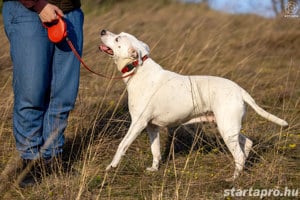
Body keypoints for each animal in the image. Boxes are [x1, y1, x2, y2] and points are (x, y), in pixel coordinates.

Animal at [99, 29, 288, 181]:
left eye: (117, 39)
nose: (102, 31)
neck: (138, 69)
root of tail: (240, 90)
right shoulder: (152, 126)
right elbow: (155, 150)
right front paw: (154, 169)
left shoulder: (137, 123)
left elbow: (122, 145)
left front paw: (111, 166)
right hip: (229, 127)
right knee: (246, 143)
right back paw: (241, 171)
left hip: (227, 129)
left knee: (239, 155)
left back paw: (233, 178)